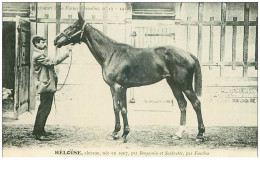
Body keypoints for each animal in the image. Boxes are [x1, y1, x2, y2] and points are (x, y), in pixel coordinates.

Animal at [53, 13, 205, 143]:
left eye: (73, 27)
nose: (55, 40)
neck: (111, 54)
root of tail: (188, 53)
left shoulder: (120, 87)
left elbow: (123, 109)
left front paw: (124, 134)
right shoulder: (114, 88)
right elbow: (116, 108)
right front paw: (115, 133)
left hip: (184, 85)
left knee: (196, 103)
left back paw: (200, 134)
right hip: (173, 84)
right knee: (182, 104)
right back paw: (178, 133)